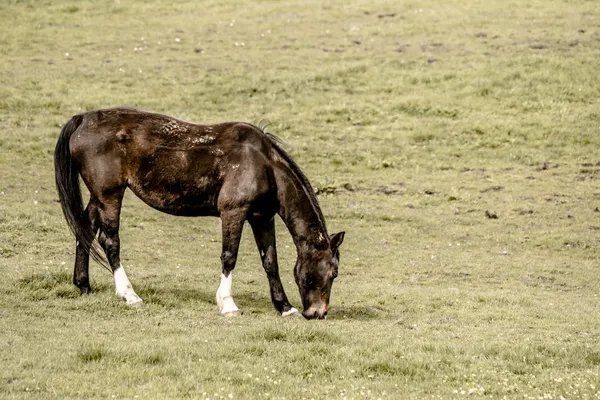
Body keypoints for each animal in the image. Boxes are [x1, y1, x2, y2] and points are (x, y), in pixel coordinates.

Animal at [55, 106, 346, 318]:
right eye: (333, 273)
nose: (319, 313)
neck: (264, 164)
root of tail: (83, 119)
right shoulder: (234, 213)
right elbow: (229, 257)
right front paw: (227, 304)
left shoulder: (262, 217)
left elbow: (270, 261)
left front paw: (284, 307)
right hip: (110, 195)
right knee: (109, 240)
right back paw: (130, 295)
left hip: (99, 196)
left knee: (85, 229)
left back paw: (83, 285)